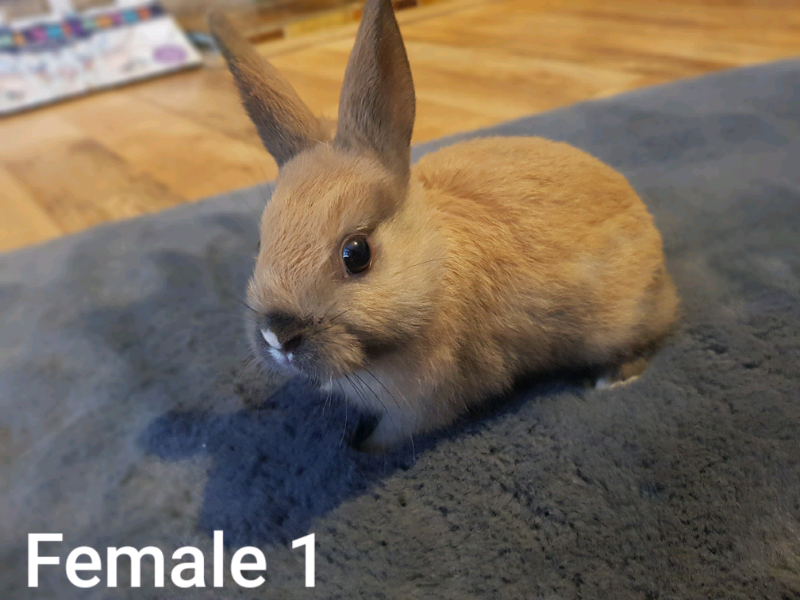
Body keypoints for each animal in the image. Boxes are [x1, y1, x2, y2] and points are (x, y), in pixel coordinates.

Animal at [210, 0, 679, 452]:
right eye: (259, 244)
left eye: (356, 254)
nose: (278, 335)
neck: (433, 272)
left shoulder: (424, 404)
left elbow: (392, 436)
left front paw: (363, 450)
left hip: (620, 322)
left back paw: (611, 379)